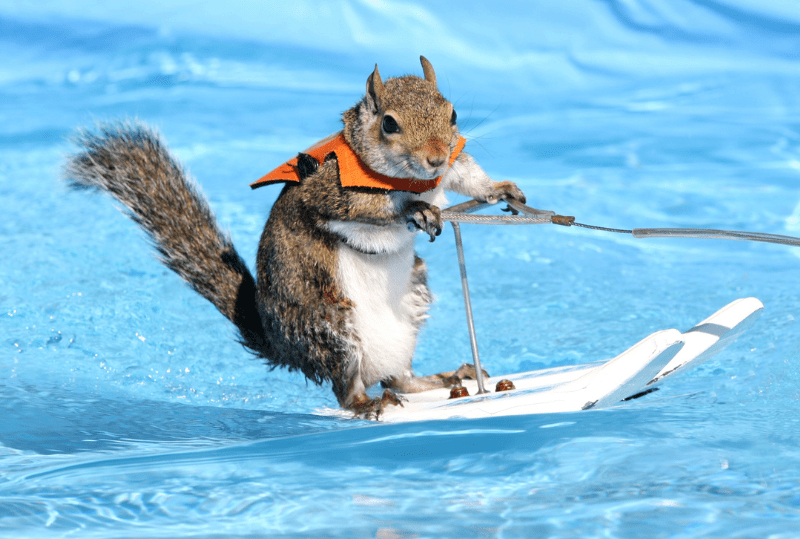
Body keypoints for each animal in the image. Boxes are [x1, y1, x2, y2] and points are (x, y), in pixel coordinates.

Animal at [65, 56, 528, 418]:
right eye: (389, 123)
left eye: (452, 114)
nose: (435, 158)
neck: (409, 179)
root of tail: (285, 347)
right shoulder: (330, 193)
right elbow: (367, 213)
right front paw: (413, 211)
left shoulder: (451, 167)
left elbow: (468, 176)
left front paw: (502, 189)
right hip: (330, 324)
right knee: (350, 391)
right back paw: (367, 403)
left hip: (409, 305)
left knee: (400, 380)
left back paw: (446, 376)